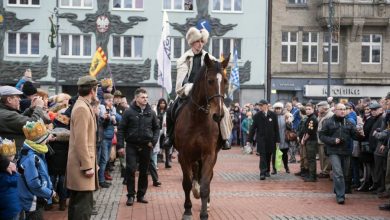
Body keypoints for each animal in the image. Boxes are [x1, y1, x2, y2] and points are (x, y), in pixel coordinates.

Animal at [174, 53, 229, 220]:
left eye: (225, 81)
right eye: (210, 81)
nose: (218, 115)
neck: (198, 119)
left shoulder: (209, 154)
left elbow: (205, 184)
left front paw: (204, 213)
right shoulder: (184, 155)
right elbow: (186, 183)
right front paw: (187, 210)